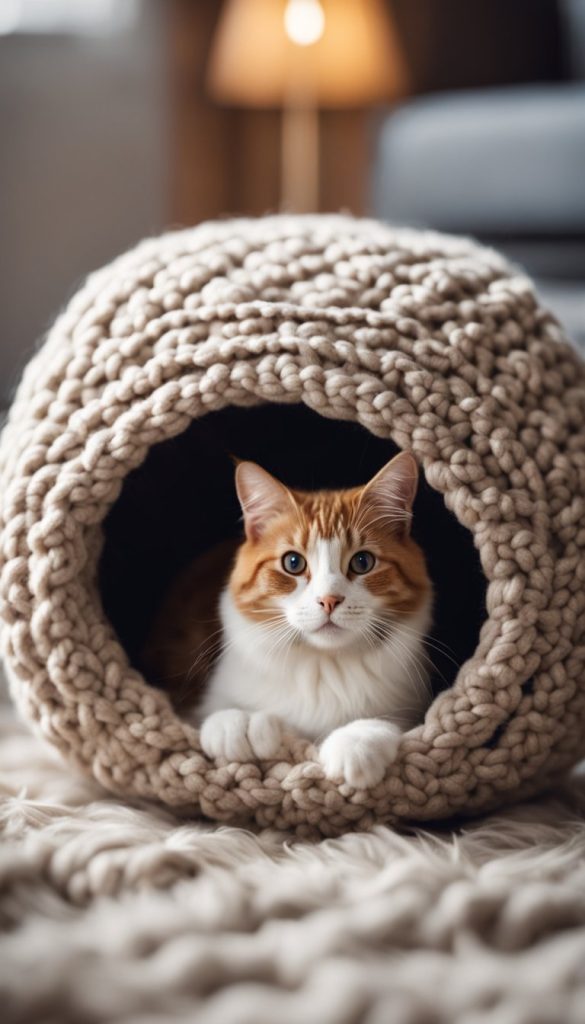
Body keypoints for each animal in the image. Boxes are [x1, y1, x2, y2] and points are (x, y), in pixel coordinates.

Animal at [144, 452, 432, 786]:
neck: (324, 666)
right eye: (293, 563)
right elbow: (218, 712)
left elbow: (390, 724)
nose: (329, 600)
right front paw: (242, 722)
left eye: (362, 562)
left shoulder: (411, 706)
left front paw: (356, 743)